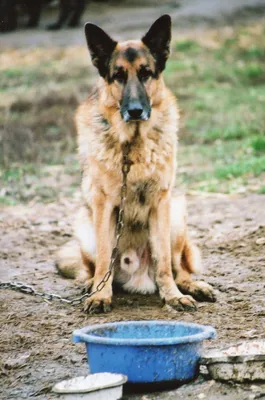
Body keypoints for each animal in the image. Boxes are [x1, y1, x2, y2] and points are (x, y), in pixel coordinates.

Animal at [55, 14, 214, 314]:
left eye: (145, 73)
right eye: (118, 76)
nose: (136, 111)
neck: (133, 147)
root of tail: (138, 277)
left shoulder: (160, 203)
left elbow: (163, 261)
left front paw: (172, 296)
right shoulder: (104, 205)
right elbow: (104, 258)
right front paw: (100, 296)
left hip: (176, 216)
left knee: (178, 268)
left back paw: (190, 286)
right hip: (84, 225)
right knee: (93, 268)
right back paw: (92, 285)